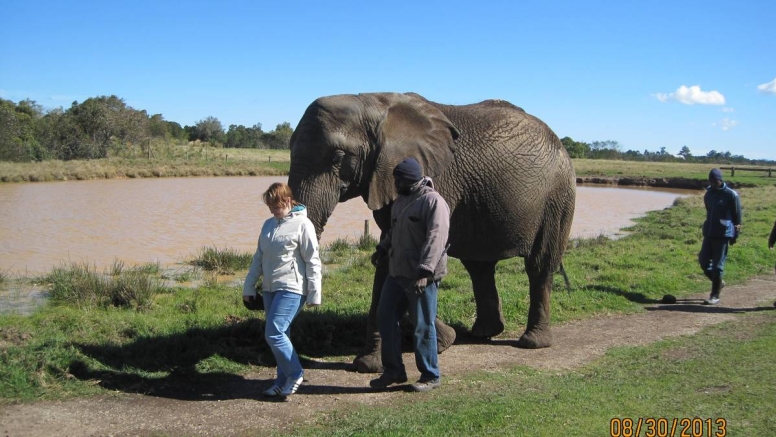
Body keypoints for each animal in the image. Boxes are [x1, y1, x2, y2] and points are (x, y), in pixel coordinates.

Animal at [286, 91, 576, 372]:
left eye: (337, 157)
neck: (372, 103)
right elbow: (392, 251)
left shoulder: (435, 178)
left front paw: (373, 363)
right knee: (479, 267)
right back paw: (482, 333)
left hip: (557, 197)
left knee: (539, 265)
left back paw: (532, 342)